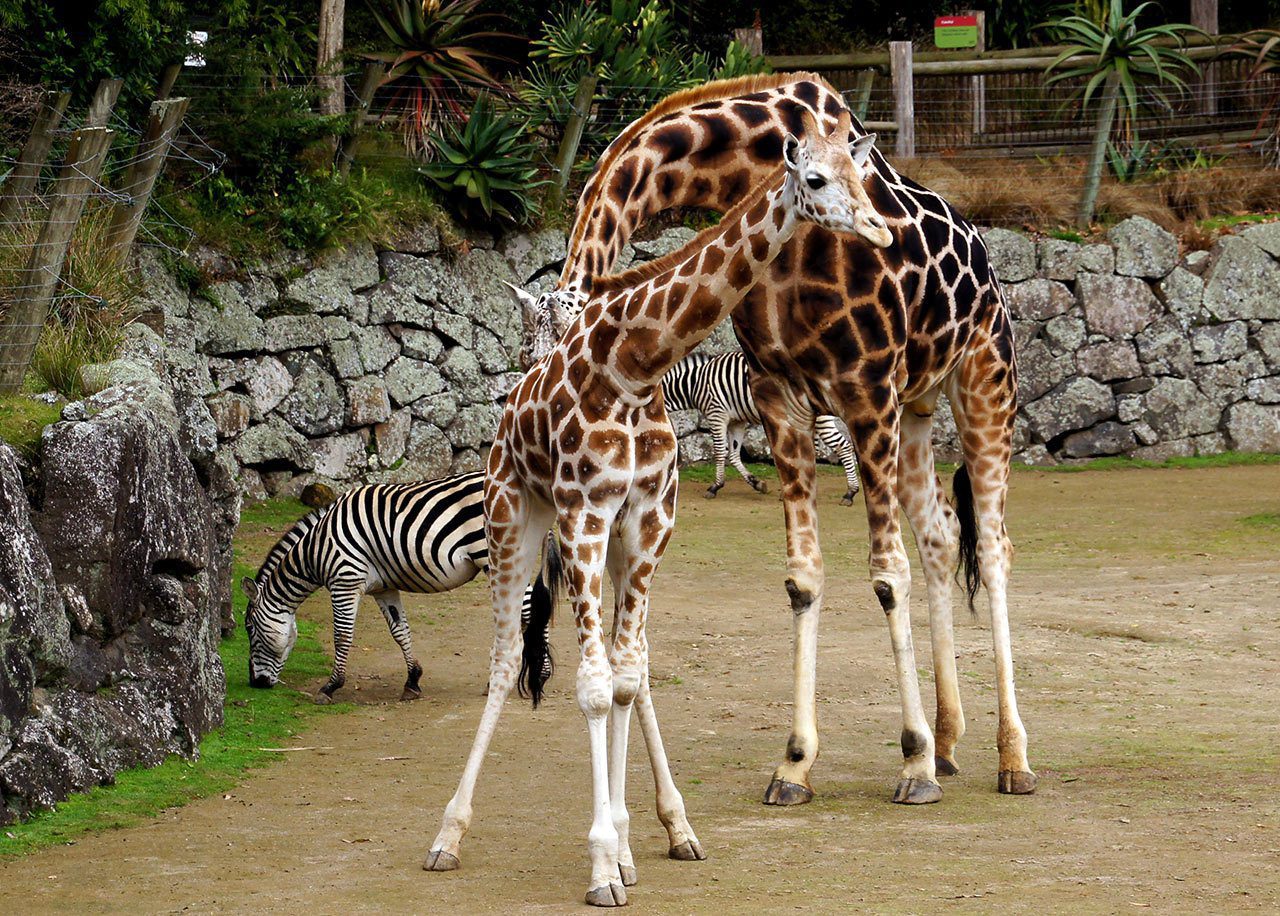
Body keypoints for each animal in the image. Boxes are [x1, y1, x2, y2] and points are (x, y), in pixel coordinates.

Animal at [241, 475, 558, 706]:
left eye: (250, 630)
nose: (256, 683)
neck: (316, 548)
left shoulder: (345, 581)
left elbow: (342, 636)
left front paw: (330, 686)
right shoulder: (384, 588)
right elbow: (400, 631)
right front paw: (413, 681)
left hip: (494, 555)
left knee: (530, 609)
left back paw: (539, 675)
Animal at [660, 353, 860, 509]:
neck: (695, 383)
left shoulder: (716, 413)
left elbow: (719, 452)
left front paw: (714, 487)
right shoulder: (737, 420)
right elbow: (733, 454)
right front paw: (757, 483)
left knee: (843, 447)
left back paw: (849, 493)